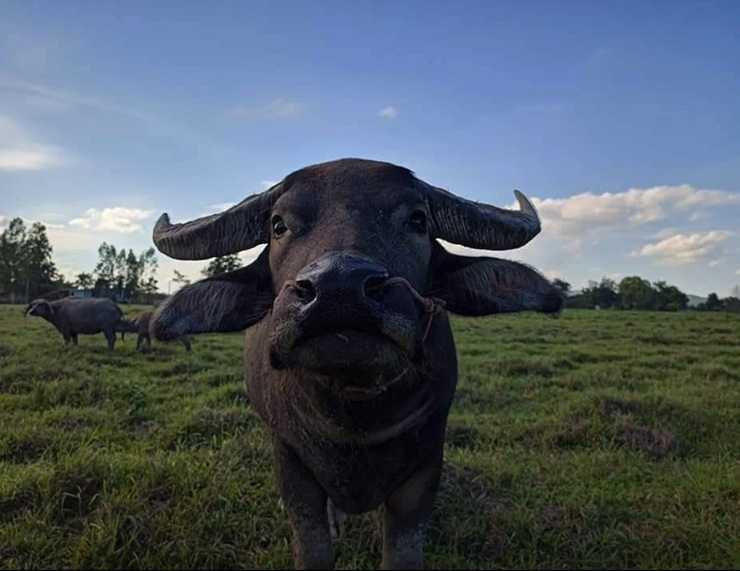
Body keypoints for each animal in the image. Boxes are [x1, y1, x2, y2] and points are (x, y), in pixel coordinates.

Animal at [153, 159, 564, 568]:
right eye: (278, 224)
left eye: (418, 220)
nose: (340, 288)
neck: (354, 418)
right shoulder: (291, 464)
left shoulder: (425, 469)